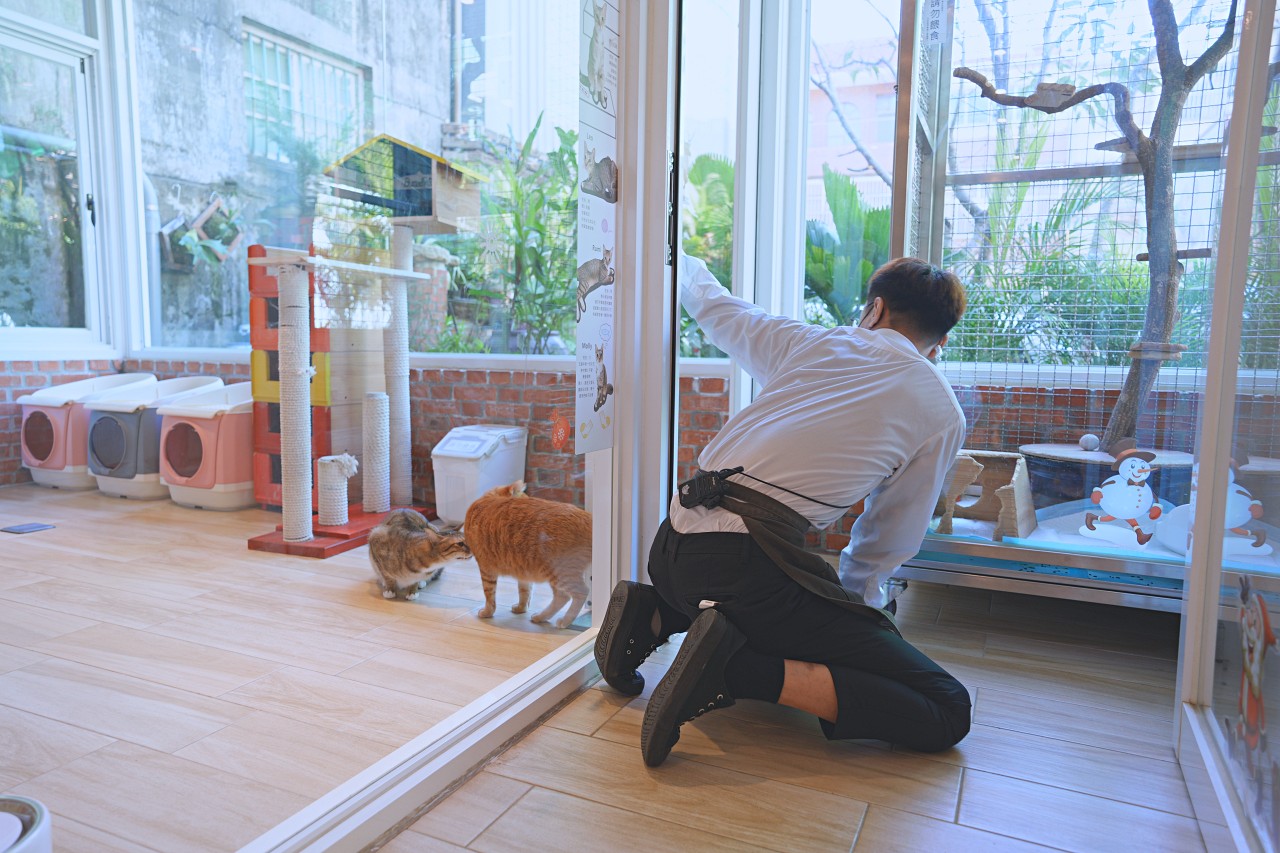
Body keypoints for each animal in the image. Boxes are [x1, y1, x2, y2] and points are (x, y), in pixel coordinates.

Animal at [465, 481, 593, 627]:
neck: (488, 499)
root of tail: (587, 517)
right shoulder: (523, 571)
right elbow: (524, 591)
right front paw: (521, 608)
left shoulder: (486, 568)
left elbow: (489, 594)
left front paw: (487, 612)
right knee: (562, 597)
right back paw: (541, 617)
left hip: (561, 572)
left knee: (579, 592)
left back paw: (565, 621)